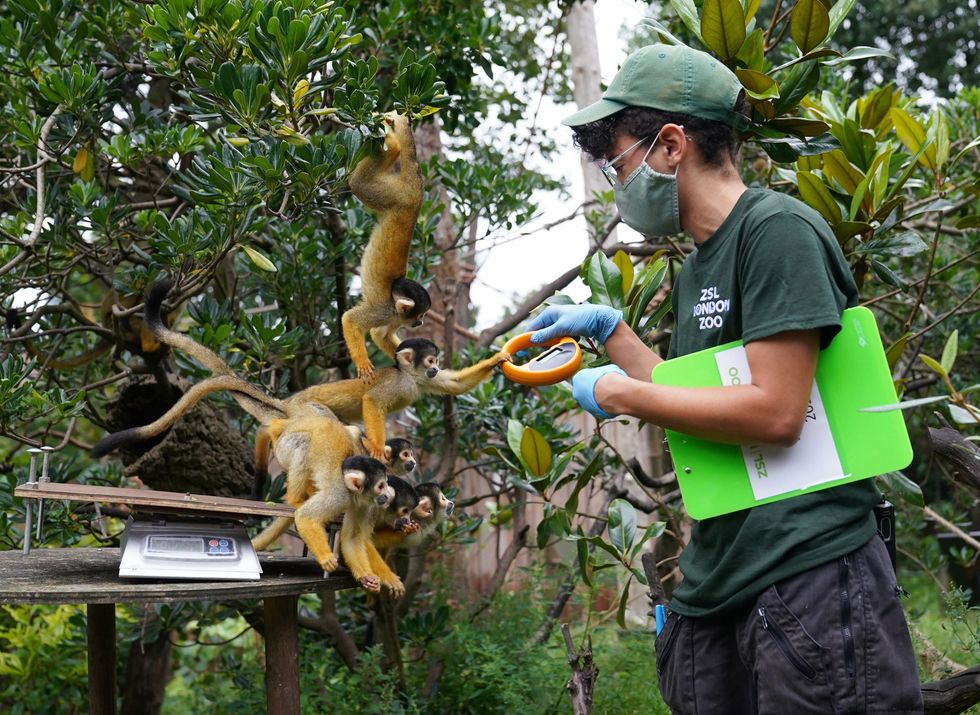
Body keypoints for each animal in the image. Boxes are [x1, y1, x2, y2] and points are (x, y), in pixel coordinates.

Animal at [341, 112, 431, 377]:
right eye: (420, 315)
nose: (421, 323)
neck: (394, 304)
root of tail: (415, 195)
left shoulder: (394, 317)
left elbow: (379, 335)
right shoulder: (382, 311)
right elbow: (350, 320)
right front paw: (363, 364)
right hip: (393, 195)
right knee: (359, 182)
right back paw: (392, 140)